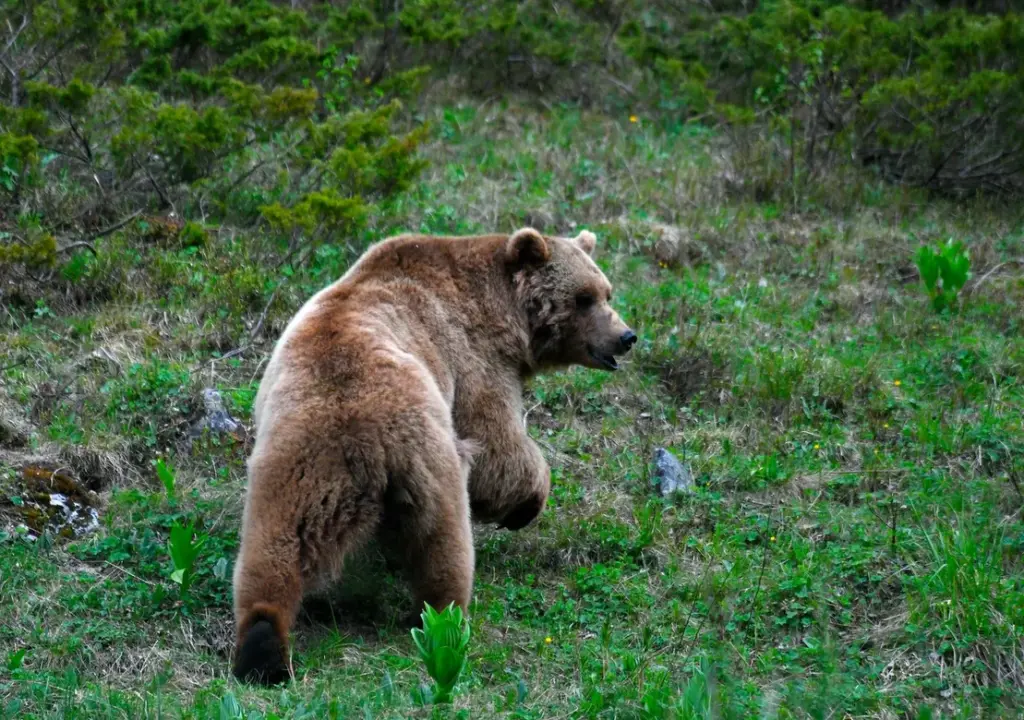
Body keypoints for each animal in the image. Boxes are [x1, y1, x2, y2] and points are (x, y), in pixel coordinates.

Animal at [232, 227, 636, 685]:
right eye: (584, 297)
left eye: (606, 291)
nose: (626, 336)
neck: (501, 309)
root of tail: (355, 427)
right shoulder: (472, 358)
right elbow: (496, 443)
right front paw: (526, 504)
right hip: (425, 457)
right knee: (442, 540)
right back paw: (444, 619)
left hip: (293, 465)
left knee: (272, 550)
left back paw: (261, 648)